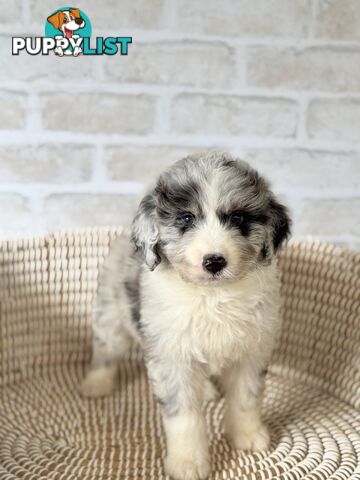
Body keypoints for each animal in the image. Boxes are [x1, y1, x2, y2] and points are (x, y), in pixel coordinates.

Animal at [81, 151, 290, 480]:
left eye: (238, 218)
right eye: (187, 218)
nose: (214, 261)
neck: (213, 297)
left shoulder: (252, 352)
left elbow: (246, 398)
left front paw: (247, 435)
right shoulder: (172, 359)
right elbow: (185, 417)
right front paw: (188, 463)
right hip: (111, 318)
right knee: (104, 351)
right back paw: (96, 383)